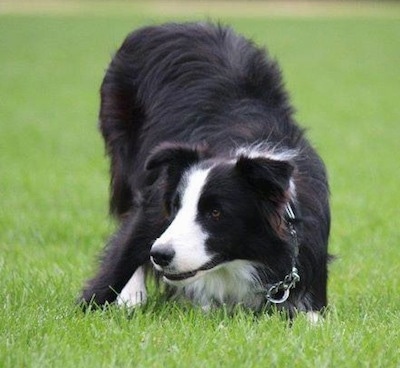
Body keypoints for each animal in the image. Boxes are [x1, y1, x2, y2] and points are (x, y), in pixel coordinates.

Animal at [79, 22, 330, 316]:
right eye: (176, 207)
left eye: (216, 212)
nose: (160, 255)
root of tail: (167, 26)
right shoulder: (154, 208)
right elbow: (126, 248)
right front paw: (95, 303)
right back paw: (132, 296)